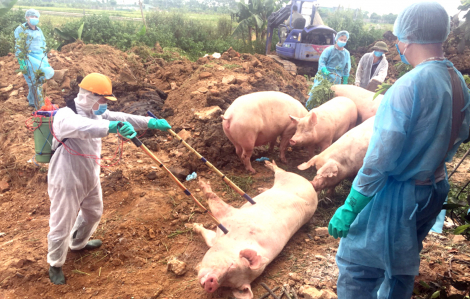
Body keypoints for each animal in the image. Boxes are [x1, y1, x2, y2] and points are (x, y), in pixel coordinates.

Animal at [189, 162, 318, 299]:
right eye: (231, 265)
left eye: (227, 284)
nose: (211, 284)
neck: (235, 240)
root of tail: (312, 187)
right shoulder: (229, 221)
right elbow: (208, 234)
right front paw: (194, 225)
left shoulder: (227, 217)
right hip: (289, 177)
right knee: (279, 170)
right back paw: (266, 171)